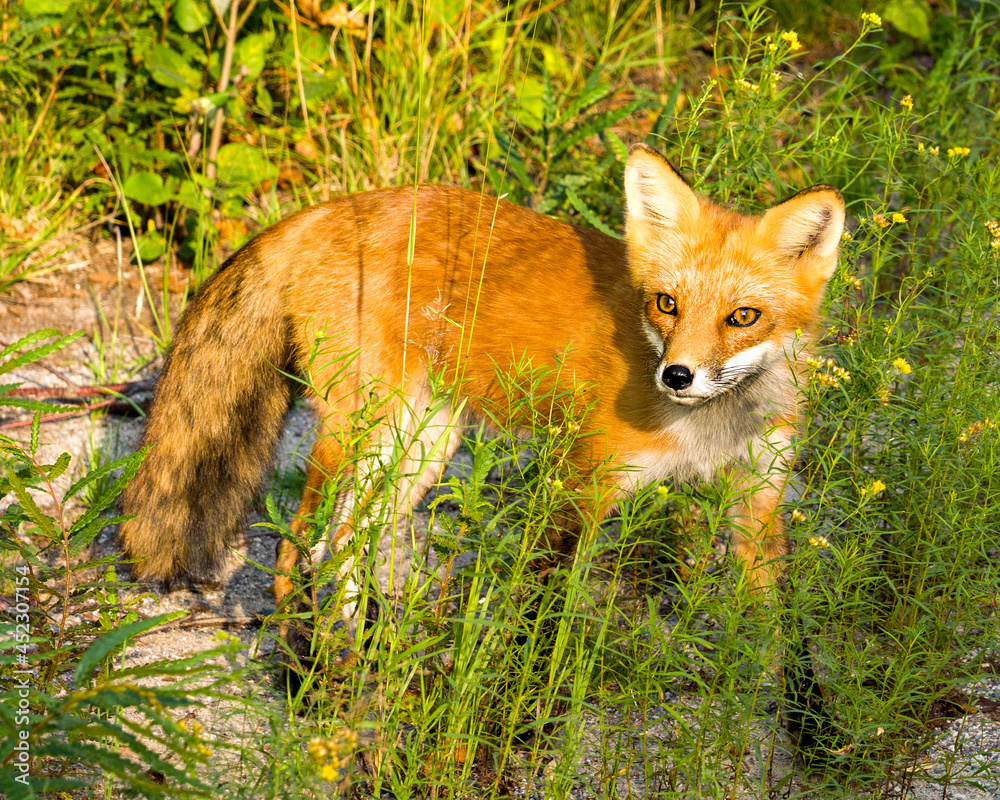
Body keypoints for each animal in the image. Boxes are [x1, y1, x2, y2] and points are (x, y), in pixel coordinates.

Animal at [118, 144, 845, 649]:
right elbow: (540, 614)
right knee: (299, 543)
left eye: (743, 317)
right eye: (667, 304)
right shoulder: (581, 481)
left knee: (343, 543)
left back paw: (356, 652)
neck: (712, 428)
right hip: (364, 430)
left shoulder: (758, 499)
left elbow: (766, 641)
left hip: (418, 446)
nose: (677, 376)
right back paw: (305, 655)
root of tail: (329, 208)